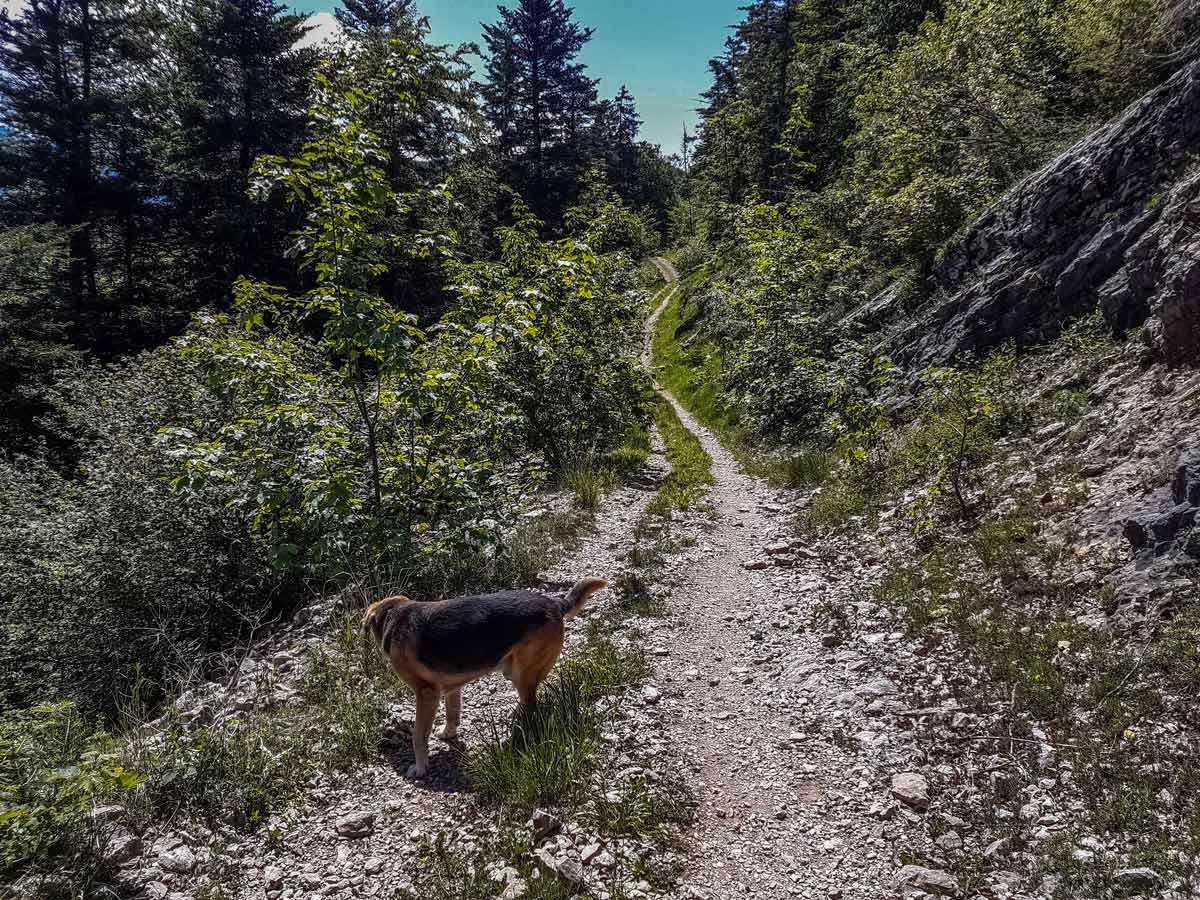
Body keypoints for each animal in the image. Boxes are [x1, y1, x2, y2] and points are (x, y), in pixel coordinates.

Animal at [360, 580, 609, 777]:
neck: (394, 616)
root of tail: (554, 603)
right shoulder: (451, 688)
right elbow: (452, 713)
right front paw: (449, 734)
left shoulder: (426, 693)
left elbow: (418, 736)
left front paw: (420, 768)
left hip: (522, 674)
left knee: (531, 707)